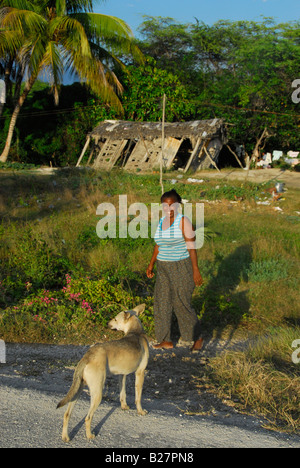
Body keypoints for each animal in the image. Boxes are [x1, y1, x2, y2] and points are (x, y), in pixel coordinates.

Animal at [56, 304, 149, 442]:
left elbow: (123, 393)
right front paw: (140, 411)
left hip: (78, 390)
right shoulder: (140, 373)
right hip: (97, 393)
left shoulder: (122, 375)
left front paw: (124, 406)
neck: (136, 332)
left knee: (67, 414)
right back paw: (89, 435)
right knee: (87, 418)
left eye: (115, 319)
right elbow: (138, 398)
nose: (107, 324)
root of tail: (87, 356)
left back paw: (65, 437)